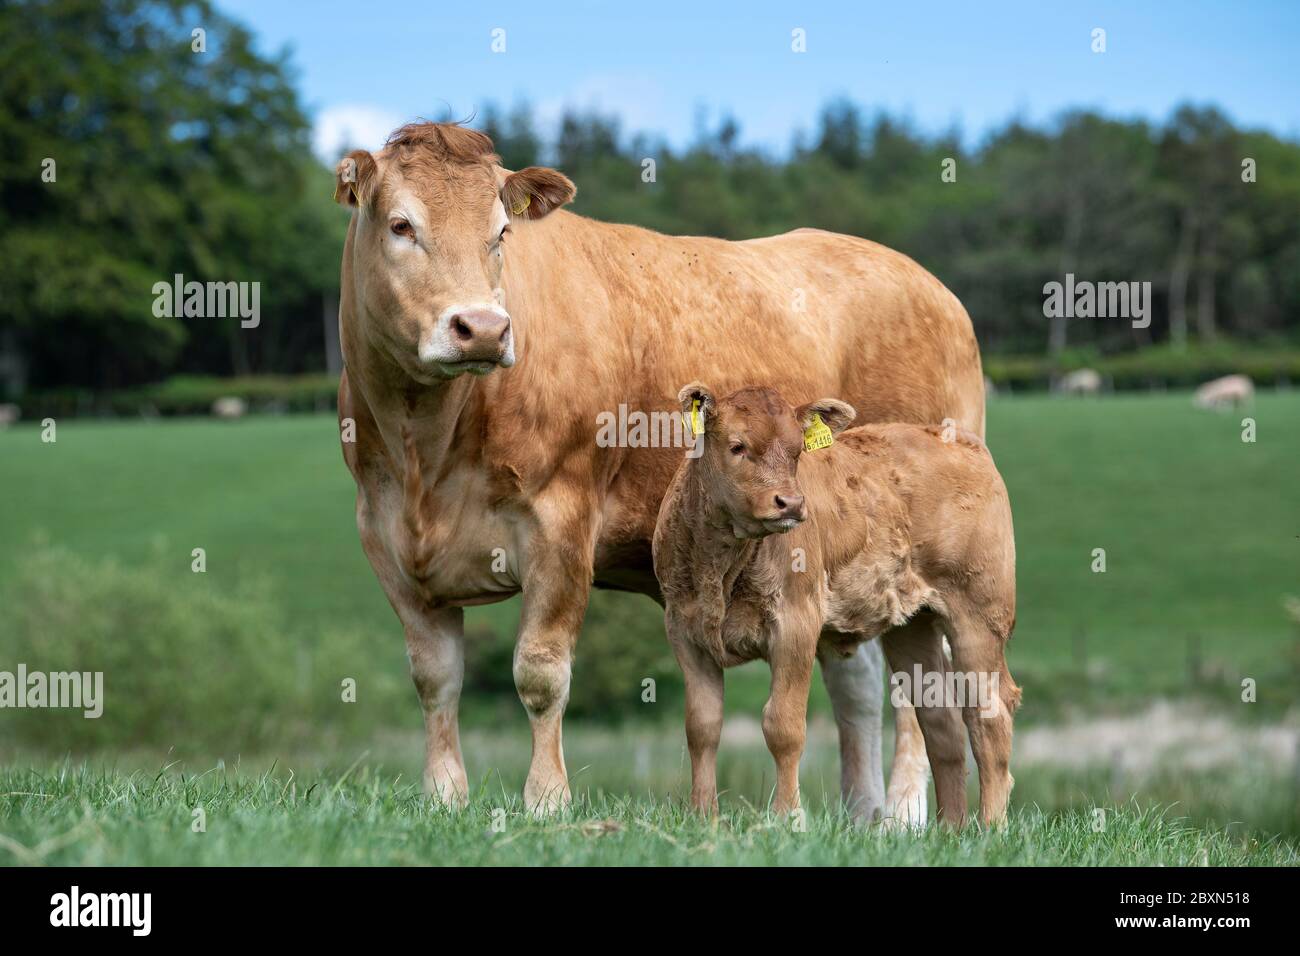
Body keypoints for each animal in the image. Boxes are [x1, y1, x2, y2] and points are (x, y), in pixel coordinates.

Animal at [333, 121, 985, 817]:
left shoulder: (561, 526)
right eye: (401, 225)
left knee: (914, 694)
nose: (481, 328)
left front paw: (546, 801)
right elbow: (435, 678)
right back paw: (862, 811)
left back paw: (902, 814)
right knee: (855, 680)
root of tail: (926, 283)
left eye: (501, 232)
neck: (426, 451)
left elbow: (540, 673)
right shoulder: (385, 537)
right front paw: (445, 798)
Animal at [653, 384, 1020, 825]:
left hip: (979, 615)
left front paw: (788, 818)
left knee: (989, 716)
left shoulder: (795, 624)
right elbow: (702, 727)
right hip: (913, 626)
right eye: (737, 446)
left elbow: (783, 726)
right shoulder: (684, 630)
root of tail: (957, 439)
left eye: (797, 451)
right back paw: (951, 829)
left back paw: (990, 826)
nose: (791, 503)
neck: (720, 567)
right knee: (940, 720)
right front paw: (703, 816)